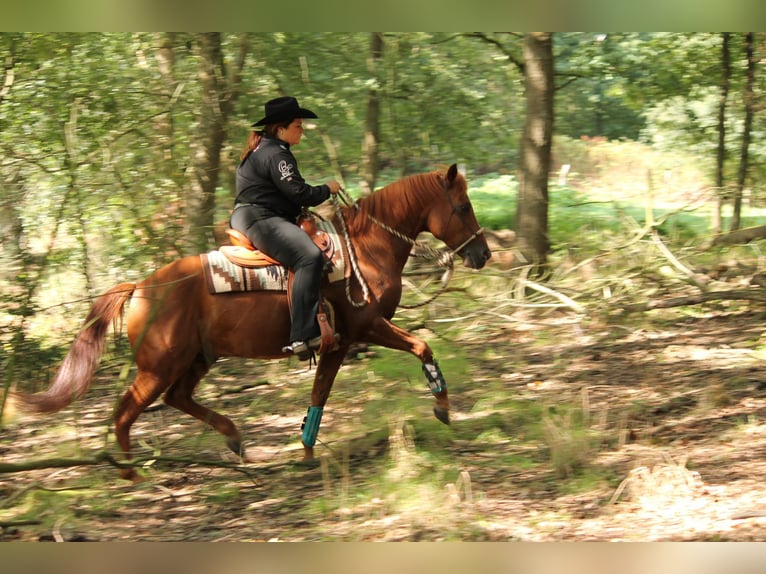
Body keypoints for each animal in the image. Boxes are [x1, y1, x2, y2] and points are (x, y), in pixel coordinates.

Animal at [15, 163, 492, 482]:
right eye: (463, 206)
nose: (483, 254)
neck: (366, 248)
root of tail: (142, 288)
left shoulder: (337, 345)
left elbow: (319, 394)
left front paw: (306, 450)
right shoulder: (366, 328)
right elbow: (422, 345)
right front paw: (442, 406)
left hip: (197, 358)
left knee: (177, 398)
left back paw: (233, 438)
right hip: (159, 364)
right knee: (126, 410)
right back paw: (132, 473)